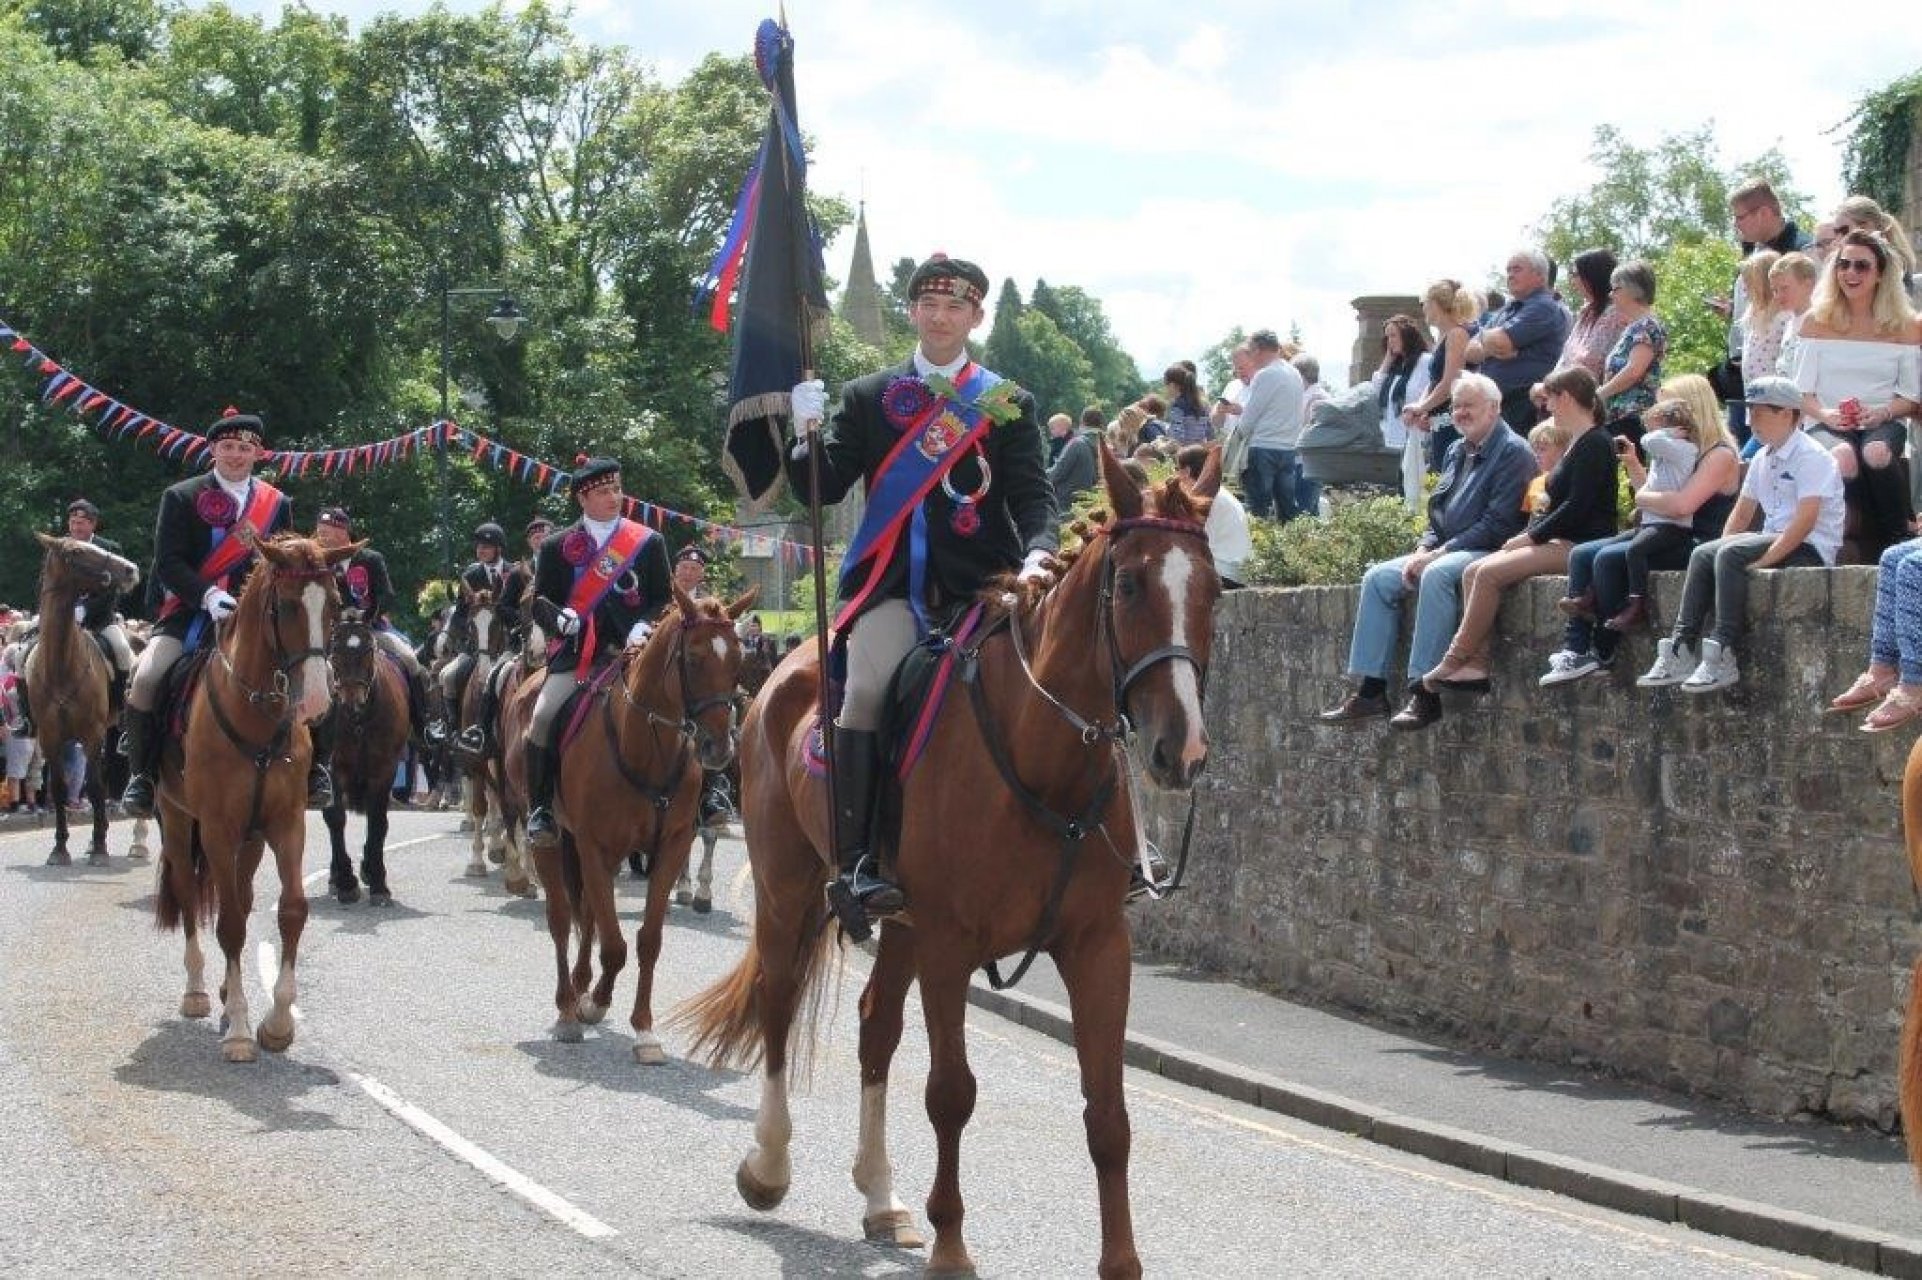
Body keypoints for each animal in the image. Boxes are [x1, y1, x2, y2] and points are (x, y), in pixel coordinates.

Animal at [22, 526, 139, 868]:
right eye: (75, 552)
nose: (130, 570)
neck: (61, 665)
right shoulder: (50, 737)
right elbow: (60, 788)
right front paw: (60, 848)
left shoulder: (91, 734)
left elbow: (96, 787)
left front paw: (99, 848)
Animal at [153, 526, 357, 1053]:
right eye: (284, 606)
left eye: (333, 604)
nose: (316, 699)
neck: (258, 716)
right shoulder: (217, 829)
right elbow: (227, 923)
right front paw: (243, 1031)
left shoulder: (284, 824)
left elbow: (290, 910)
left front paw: (278, 1023)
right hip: (178, 820)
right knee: (190, 895)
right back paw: (199, 992)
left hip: (251, 839)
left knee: (241, 898)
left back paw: (227, 993)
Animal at [320, 615, 411, 903]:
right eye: (334, 651)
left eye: (369, 651)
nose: (352, 702)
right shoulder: (334, 767)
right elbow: (335, 817)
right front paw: (346, 881)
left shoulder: (385, 768)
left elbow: (378, 820)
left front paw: (378, 879)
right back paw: (336, 876)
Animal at [511, 580, 757, 1053]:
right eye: (693, 658)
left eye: (738, 659)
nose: (719, 749)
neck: (645, 747)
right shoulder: (595, 845)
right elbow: (614, 945)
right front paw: (596, 1004)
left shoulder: (670, 847)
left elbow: (646, 940)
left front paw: (643, 1029)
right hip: (557, 839)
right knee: (561, 918)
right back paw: (568, 1009)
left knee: (588, 914)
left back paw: (581, 986)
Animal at [676, 443, 1214, 1268]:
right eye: (1128, 584)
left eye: (1216, 589)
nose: (1178, 751)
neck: (1043, 760)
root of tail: (785, 669)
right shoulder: (951, 946)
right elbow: (951, 1092)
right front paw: (952, 1247)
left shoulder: (1096, 946)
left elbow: (1108, 1114)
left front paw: (1121, 1264)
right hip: (788, 890)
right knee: (777, 1001)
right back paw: (768, 1167)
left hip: (900, 925)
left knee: (874, 1026)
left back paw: (880, 1198)